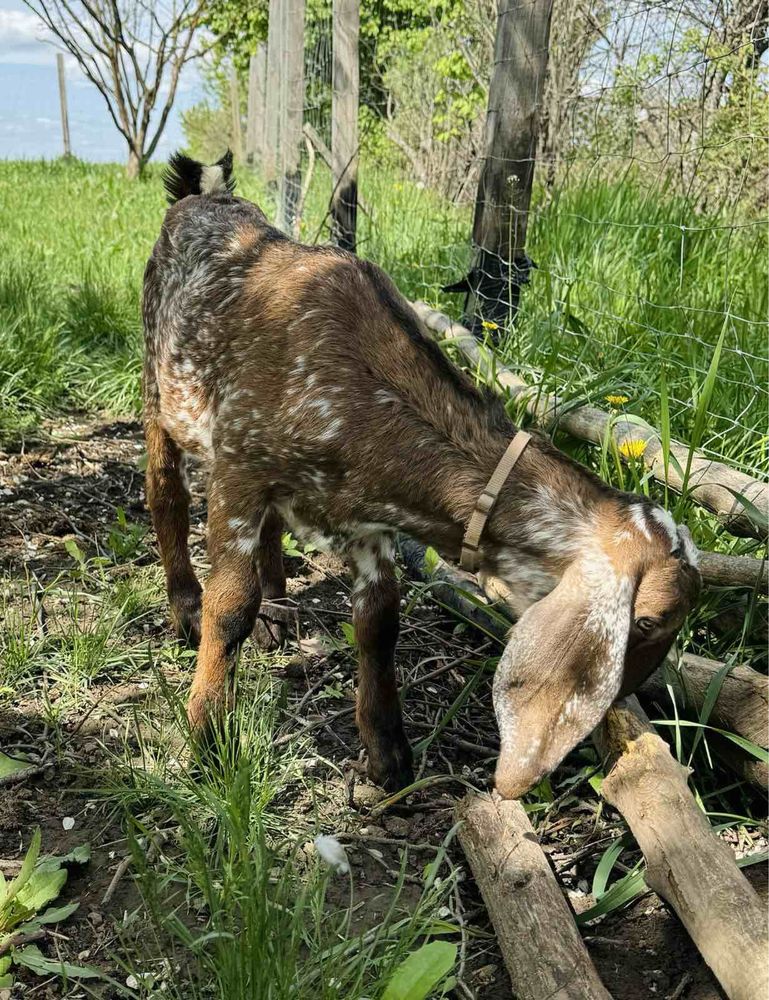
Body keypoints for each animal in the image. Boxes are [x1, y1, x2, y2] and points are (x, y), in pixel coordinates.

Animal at [141, 152, 700, 796]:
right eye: (647, 619)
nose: (625, 703)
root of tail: (202, 192)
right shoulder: (240, 462)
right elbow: (231, 604)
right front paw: (206, 738)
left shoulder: (367, 522)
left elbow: (380, 619)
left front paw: (388, 757)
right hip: (158, 382)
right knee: (164, 494)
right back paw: (186, 608)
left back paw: (280, 609)